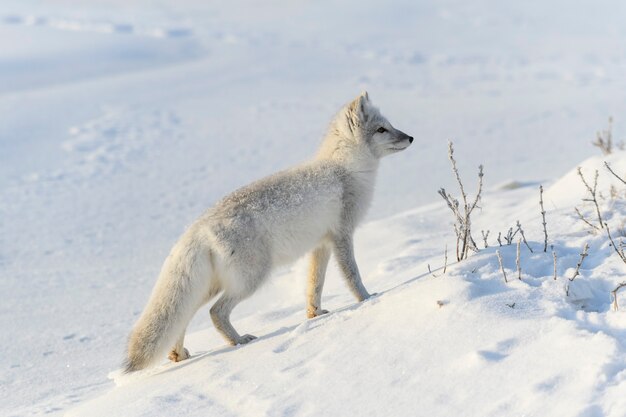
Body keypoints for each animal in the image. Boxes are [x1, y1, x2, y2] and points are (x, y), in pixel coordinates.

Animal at [124, 92, 412, 370]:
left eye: (389, 125)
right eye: (382, 129)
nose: (410, 137)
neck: (346, 169)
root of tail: (195, 228)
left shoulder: (321, 245)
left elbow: (314, 285)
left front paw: (315, 315)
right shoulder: (343, 234)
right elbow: (353, 275)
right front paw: (368, 298)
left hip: (213, 284)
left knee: (186, 316)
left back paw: (179, 354)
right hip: (251, 278)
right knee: (215, 312)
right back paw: (239, 341)